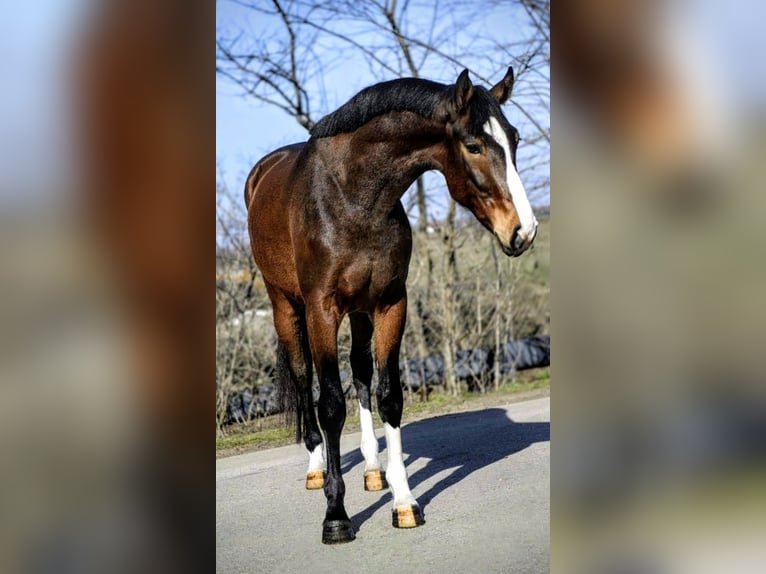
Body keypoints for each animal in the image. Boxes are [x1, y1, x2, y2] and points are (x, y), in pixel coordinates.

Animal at [245, 67, 538, 544]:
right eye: (473, 145)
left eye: (513, 139)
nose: (523, 231)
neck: (352, 197)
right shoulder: (322, 310)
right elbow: (330, 405)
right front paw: (336, 516)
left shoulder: (389, 304)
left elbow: (388, 397)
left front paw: (403, 501)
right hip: (285, 308)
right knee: (305, 381)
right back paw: (316, 469)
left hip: (360, 312)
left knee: (362, 374)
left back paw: (372, 469)